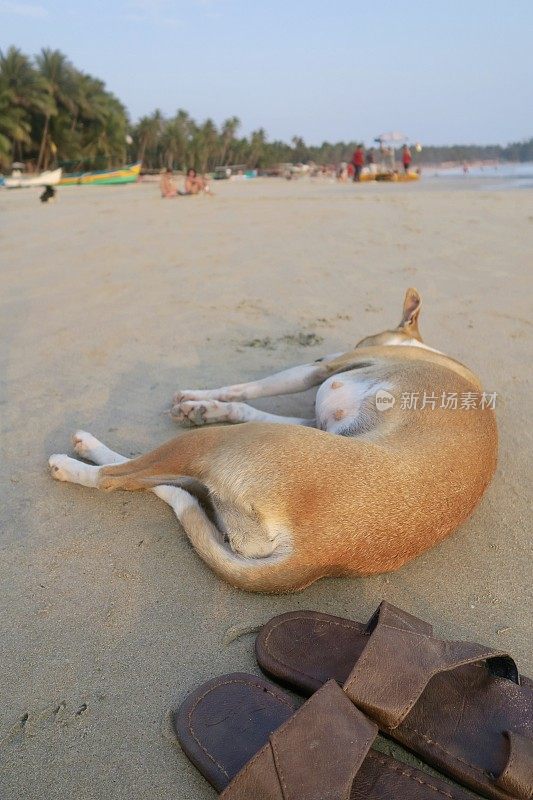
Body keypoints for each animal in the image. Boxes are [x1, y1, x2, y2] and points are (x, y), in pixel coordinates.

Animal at [48, 290, 494, 592]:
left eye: (362, 339)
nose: (332, 351)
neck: (422, 348)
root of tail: (318, 553)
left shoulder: (319, 372)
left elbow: (248, 388)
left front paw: (200, 397)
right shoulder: (313, 420)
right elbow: (248, 403)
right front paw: (203, 405)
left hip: (217, 446)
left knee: (118, 478)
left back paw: (77, 457)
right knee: (159, 483)